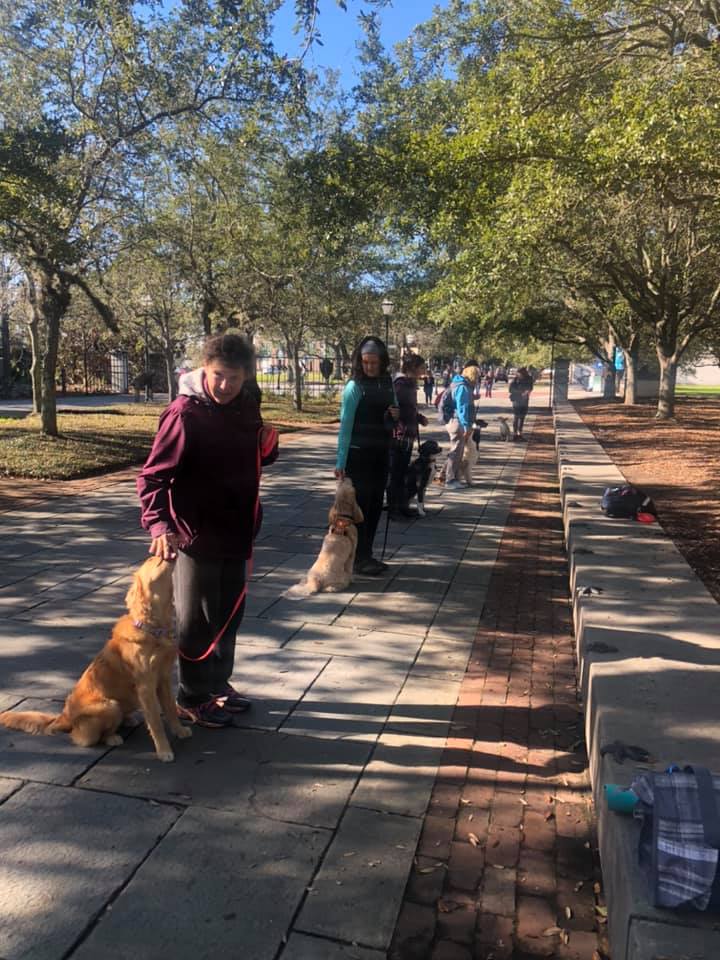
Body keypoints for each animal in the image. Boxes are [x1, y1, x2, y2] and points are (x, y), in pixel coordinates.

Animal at [0, 556, 191, 764]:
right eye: (151, 559)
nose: (162, 552)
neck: (153, 630)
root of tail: (64, 716)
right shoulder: (146, 686)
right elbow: (156, 721)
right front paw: (164, 750)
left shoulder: (163, 678)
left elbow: (171, 709)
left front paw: (180, 730)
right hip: (110, 706)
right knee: (82, 737)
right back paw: (112, 737)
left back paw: (127, 720)